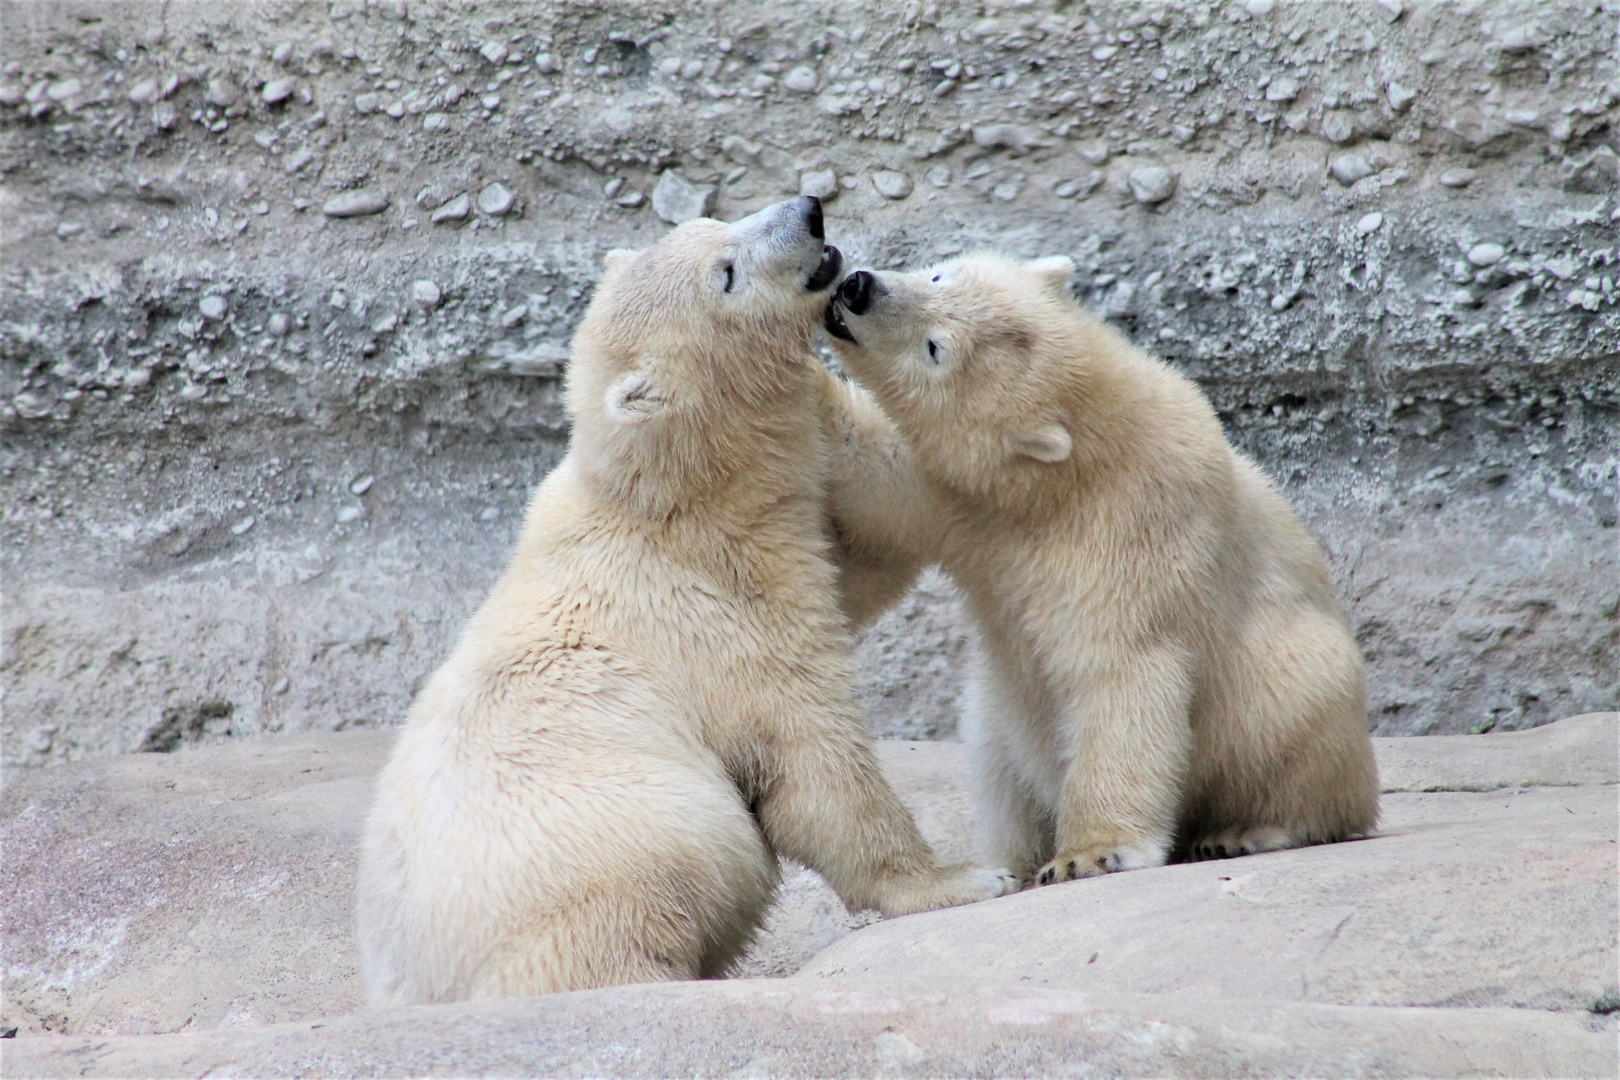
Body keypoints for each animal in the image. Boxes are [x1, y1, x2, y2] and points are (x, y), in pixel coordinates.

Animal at [359, 198, 1004, 1010]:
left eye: (717, 222)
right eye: (725, 273)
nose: (808, 211)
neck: (666, 499)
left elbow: (878, 529)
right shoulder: (716, 604)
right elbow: (810, 759)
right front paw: (960, 878)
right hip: (609, 842)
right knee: (657, 885)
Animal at [822, 254, 1380, 887]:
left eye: (935, 348)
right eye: (940, 275)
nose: (859, 286)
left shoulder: (1129, 531)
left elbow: (1122, 672)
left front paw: (1088, 853)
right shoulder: (966, 503)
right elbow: (877, 468)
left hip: (1293, 692)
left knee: (1299, 729)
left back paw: (1245, 830)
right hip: (997, 720)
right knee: (995, 755)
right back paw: (1008, 861)